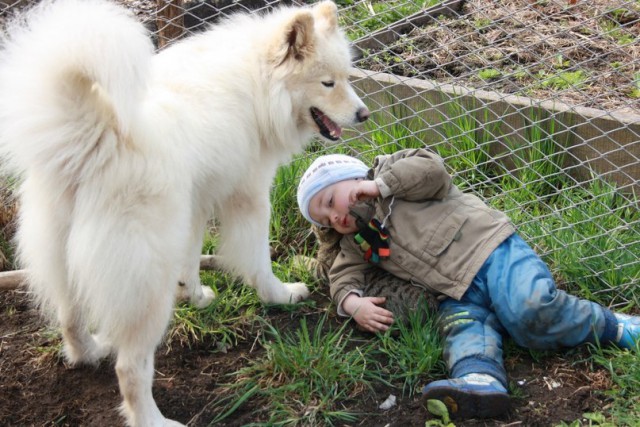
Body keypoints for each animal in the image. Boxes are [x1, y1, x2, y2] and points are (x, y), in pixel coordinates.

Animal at [0, 1, 370, 426]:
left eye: (347, 77)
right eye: (327, 83)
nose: (364, 114)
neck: (257, 83)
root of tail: (95, 139)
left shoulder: (195, 203)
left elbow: (191, 256)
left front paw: (195, 295)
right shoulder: (249, 197)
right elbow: (258, 260)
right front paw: (280, 295)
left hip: (65, 256)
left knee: (70, 319)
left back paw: (89, 351)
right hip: (146, 281)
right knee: (130, 368)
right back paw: (152, 419)